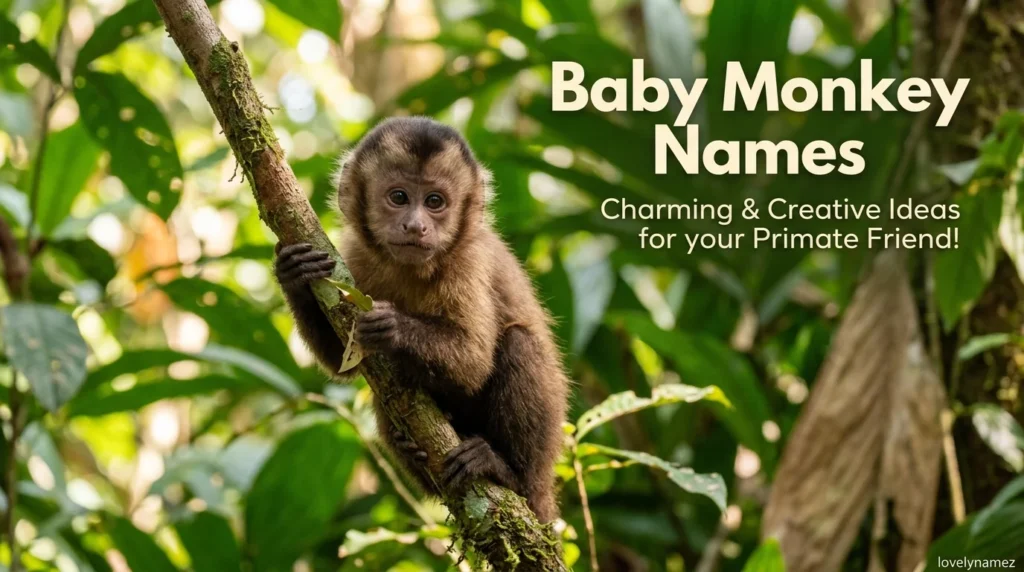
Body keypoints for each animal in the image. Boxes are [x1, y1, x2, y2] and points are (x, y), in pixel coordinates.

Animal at [274, 116, 569, 522]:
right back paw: (411, 448)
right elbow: (343, 364)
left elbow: (474, 362)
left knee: (519, 342)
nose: (415, 226)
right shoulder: (351, 256)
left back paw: (507, 471)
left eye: (434, 202)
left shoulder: (468, 262)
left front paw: (393, 327)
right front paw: (294, 273)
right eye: (398, 197)